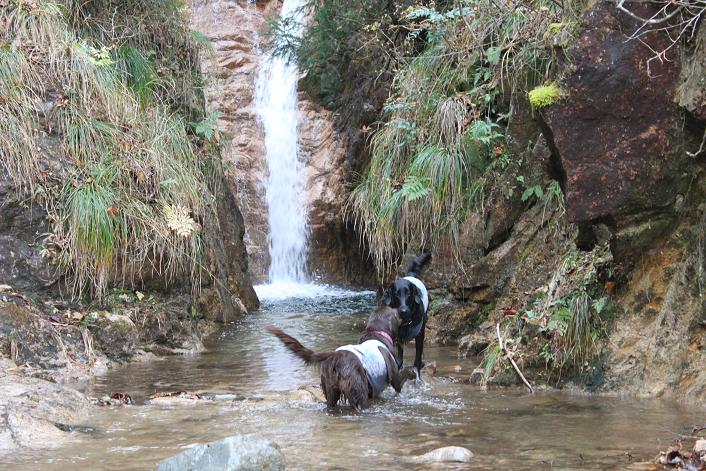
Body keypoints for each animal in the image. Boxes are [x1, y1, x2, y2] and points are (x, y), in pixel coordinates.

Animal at [266, 306, 416, 410]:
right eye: (397, 313)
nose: (403, 311)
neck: (377, 334)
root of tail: (334, 355)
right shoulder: (395, 379)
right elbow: (402, 376)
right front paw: (413, 372)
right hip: (357, 388)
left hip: (330, 388)